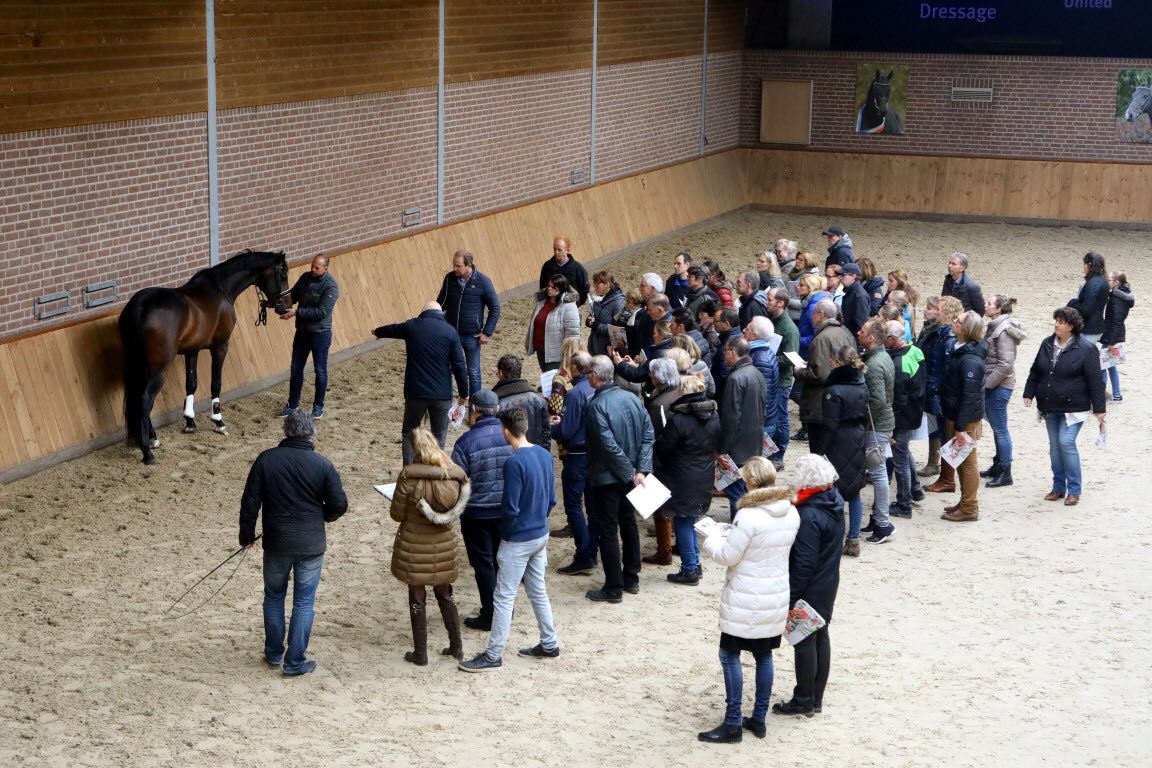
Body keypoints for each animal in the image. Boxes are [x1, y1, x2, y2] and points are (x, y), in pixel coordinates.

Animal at [119, 251, 290, 462]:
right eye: (283, 275)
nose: (286, 307)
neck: (221, 290)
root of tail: (140, 307)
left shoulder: (192, 350)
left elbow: (191, 384)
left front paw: (190, 422)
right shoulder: (220, 346)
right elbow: (215, 383)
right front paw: (218, 421)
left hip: (142, 365)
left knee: (140, 397)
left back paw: (153, 439)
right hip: (159, 368)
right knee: (145, 399)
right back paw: (147, 451)